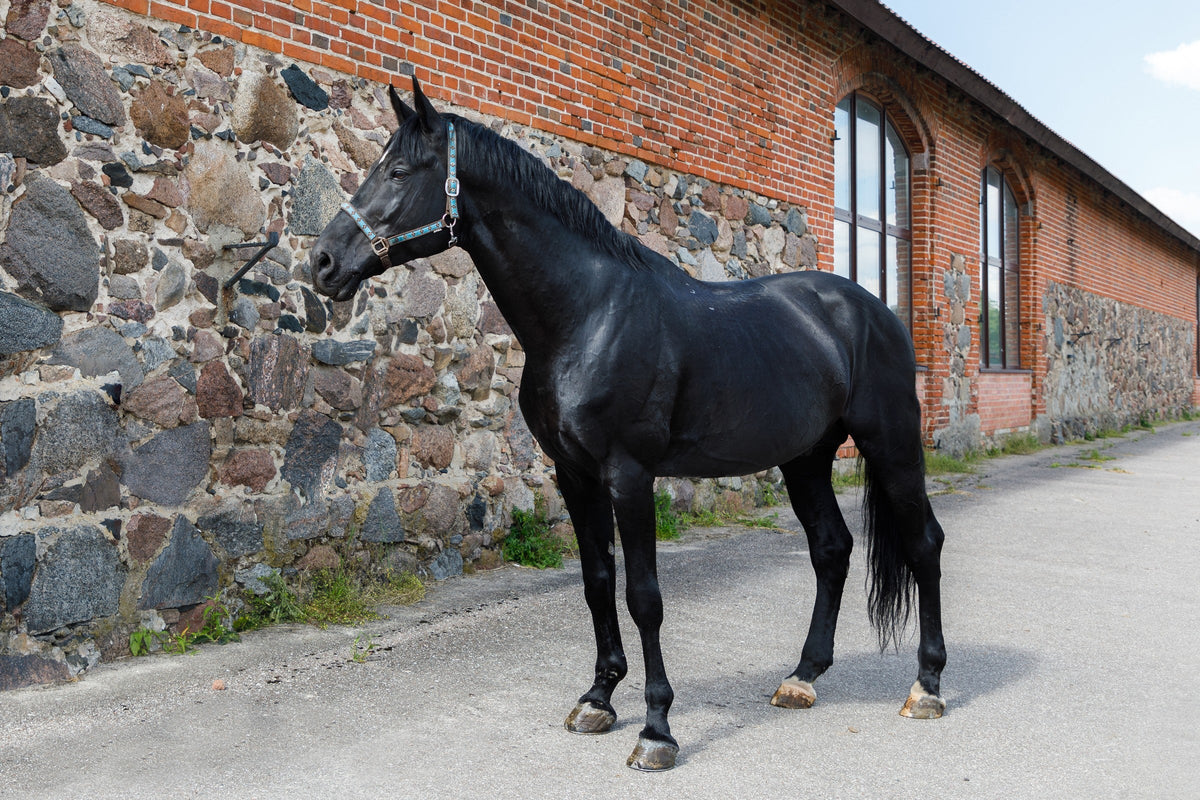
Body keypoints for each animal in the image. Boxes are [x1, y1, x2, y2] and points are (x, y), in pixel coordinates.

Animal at [308, 76, 946, 771]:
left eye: (399, 172)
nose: (322, 261)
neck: (589, 315)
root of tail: (875, 312)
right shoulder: (575, 474)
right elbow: (597, 582)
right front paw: (597, 699)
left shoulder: (629, 475)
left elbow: (644, 596)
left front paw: (656, 729)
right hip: (805, 458)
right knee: (831, 549)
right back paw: (802, 677)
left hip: (892, 446)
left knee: (924, 544)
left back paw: (927, 687)